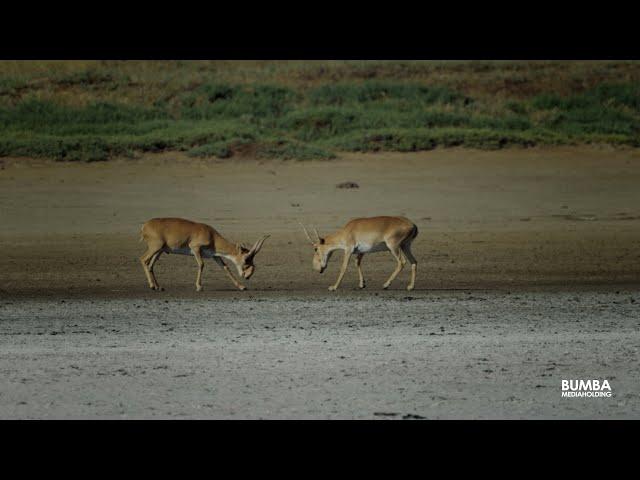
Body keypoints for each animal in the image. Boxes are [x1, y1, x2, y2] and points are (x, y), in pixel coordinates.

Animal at [139, 218, 268, 292]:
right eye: (246, 259)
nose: (247, 276)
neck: (212, 236)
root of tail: (145, 226)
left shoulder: (215, 256)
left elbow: (225, 267)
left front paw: (242, 287)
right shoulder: (195, 248)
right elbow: (201, 264)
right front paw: (199, 287)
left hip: (160, 251)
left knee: (150, 265)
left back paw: (158, 287)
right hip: (155, 248)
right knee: (143, 259)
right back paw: (152, 286)